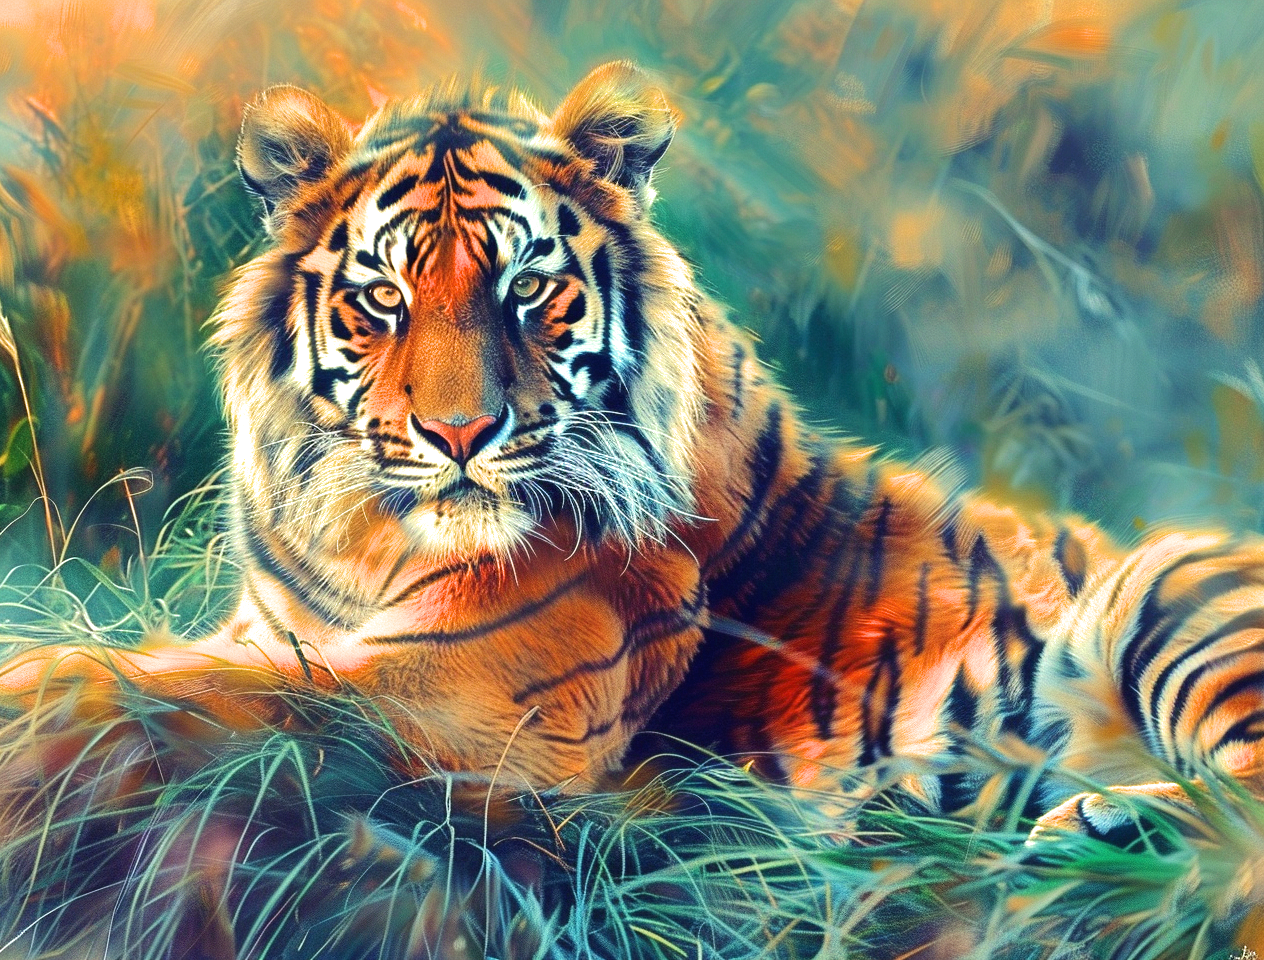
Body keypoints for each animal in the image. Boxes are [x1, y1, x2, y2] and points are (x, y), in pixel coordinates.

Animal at [2, 60, 1263, 847]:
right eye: (382, 297)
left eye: (527, 287)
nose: (459, 435)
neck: (360, 546)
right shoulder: (285, 631)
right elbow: (183, 665)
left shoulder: (466, 698)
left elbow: (179, 687)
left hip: (1171, 593)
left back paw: (1100, 822)